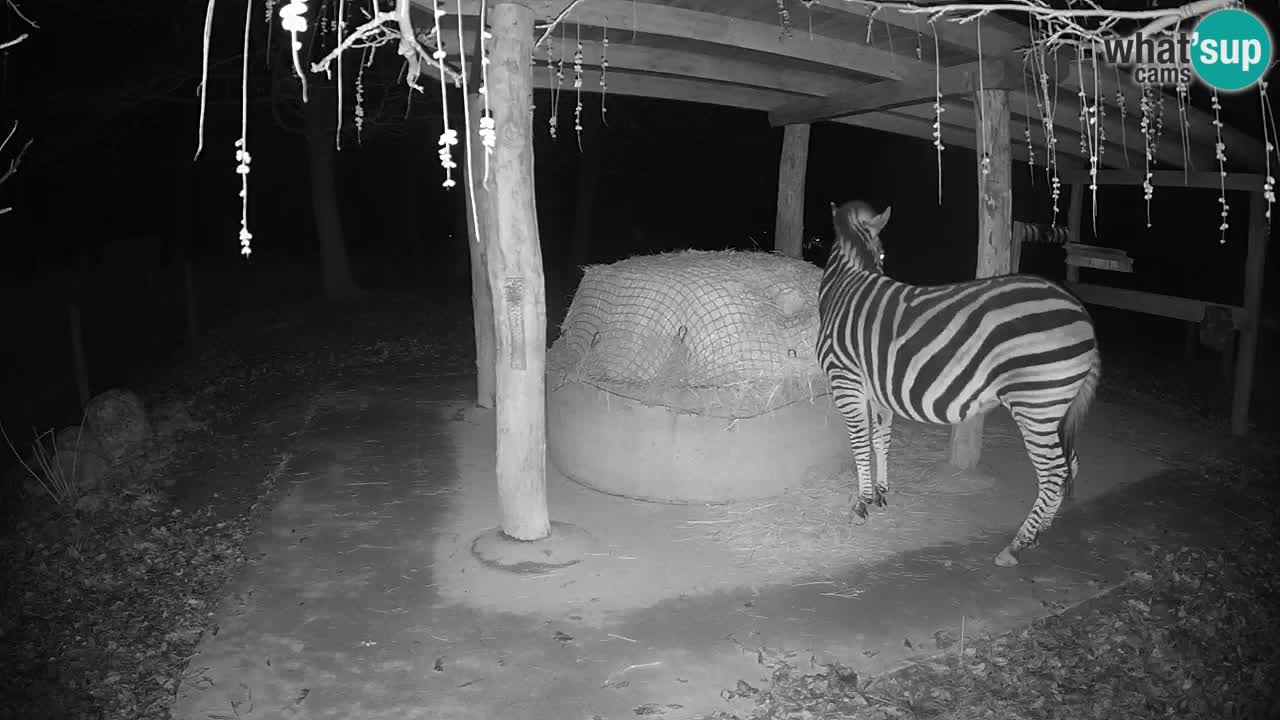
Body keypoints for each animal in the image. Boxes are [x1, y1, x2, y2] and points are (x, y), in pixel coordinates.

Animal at [819, 198, 1100, 563]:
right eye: (882, 255)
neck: (848, 282)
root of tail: (1083, 315)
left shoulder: (846, 382)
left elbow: (859, 444)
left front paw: (861, 504)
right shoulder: (878, 391)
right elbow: (881, 440)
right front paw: (880, 493)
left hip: (1036, 405)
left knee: (1054, 472)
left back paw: (1017, 544)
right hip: (1054, 407)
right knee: (1070, 464)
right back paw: (1040, 532)